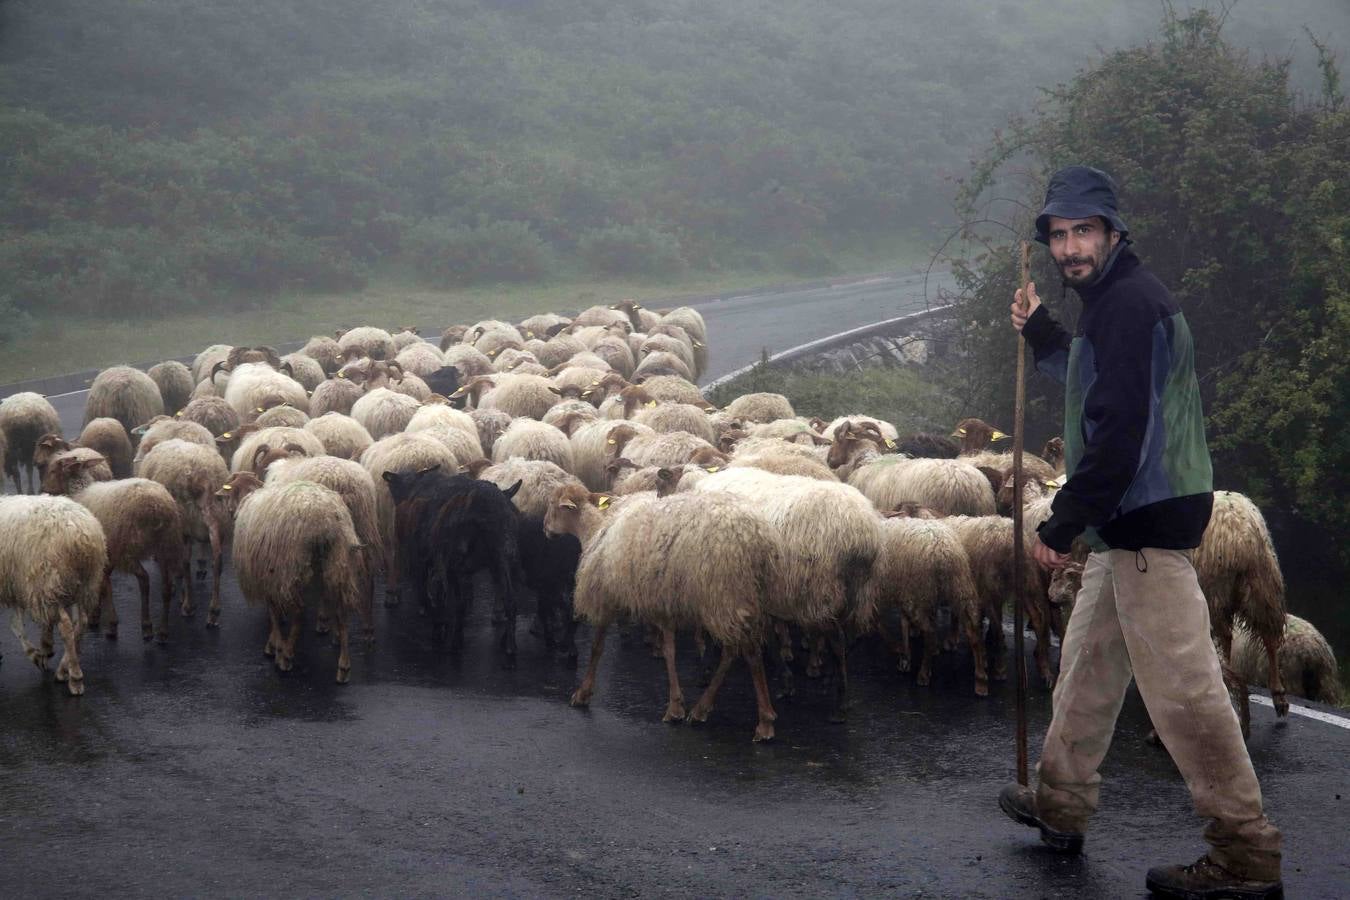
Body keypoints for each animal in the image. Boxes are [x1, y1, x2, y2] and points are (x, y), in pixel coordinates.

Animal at [0, 493, 105, 696]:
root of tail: (81, 536)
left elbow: (16, 626)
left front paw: (37, 654)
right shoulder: (15, 585)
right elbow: (16, 623)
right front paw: (42, 650)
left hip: (49, 582)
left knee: (66, 626)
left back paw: (75, 677)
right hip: (82, 584)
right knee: (81, 622)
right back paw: (63, 668)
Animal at [42, 453, 187, 644]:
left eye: (53, 470)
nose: (45, 490)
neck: (80, 491)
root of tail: (157, 507)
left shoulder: (106, 553)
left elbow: (105, 586)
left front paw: (110, 624)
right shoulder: (108, 555)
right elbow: (104, 581)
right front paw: (96, 615)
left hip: (128, 548)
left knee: (144, 579)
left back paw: (147, 626)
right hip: (166, 545)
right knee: (166, 587)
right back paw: (163, 631)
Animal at [226, 477, 364, 682]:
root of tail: (324, 518)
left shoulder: (270, 576)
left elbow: (274, 613)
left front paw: (275, 647)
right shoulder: (271, 578)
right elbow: (274, 612)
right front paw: (274, 644)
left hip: (289, 566)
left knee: (299, 611)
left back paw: (287, 656)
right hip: (338, 559)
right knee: (341, 612)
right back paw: (344, 667)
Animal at [545, 485, 783, 739]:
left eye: (552, 504)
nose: (545, 528)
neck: (595, 529)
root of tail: (757, 536)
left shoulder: (606, 595)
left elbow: (596, 648)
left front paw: (583, 693)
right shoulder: (664, 602)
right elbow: (669, 651)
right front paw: (676, 706)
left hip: (726, 594)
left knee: (750, 652)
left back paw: (765, 722)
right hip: (735, 598)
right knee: (731, 651)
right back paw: (701, 709)